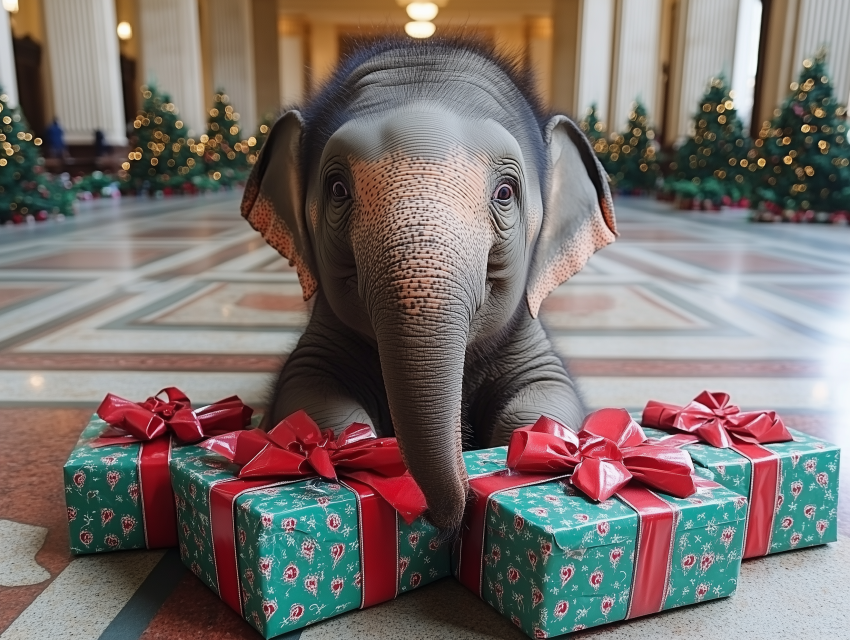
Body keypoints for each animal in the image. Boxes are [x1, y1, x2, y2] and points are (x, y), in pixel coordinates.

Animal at [241, 38, 617, 533]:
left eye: (505, 193)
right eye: (338, 188)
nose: (446, 516)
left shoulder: (530, 342)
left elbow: (547, 398)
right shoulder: (318, 344)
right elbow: (308, 396)